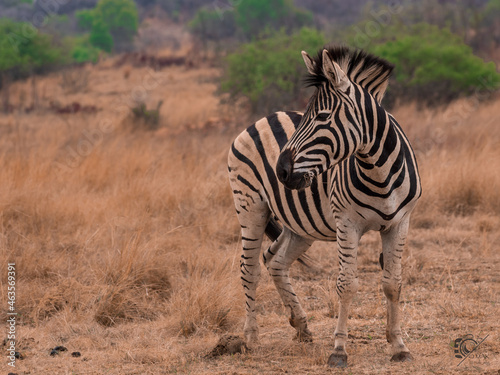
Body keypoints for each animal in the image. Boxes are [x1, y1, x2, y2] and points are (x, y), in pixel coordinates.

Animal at [228, 44, 422, 368]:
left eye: (322, 116)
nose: (281, 171)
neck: (378, 171)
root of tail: (265, 117)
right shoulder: (348, 224)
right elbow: (346, 284)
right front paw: (339, 350)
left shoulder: (400, 223)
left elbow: (392, 283)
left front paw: (398, 345)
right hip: (250, 206)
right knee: (249, 268)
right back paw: (251, 338)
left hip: (299, 224)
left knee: (275, 261)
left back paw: (301, 326)